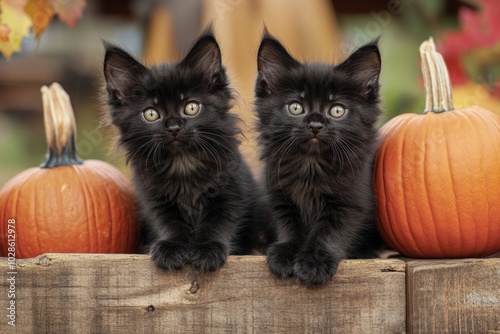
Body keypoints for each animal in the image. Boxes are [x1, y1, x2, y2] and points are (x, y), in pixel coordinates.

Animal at [103, 29, 264, 274]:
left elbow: (218, 221)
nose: (173, 127)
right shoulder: (154, 198)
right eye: (151, 113)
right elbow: (168, 223)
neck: (183, 162)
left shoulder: (231, 191)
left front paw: (207, 250)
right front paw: (171, 248)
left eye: (191, 107)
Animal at [256, 33, 384, 284]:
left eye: (337, 110)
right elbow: (288, 225)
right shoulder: (278, 197)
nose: (315, 124)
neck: (311, 164)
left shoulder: (350, 201)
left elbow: (329, 231)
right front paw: (284, 253)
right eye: (296, 107)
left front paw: (314, 263)